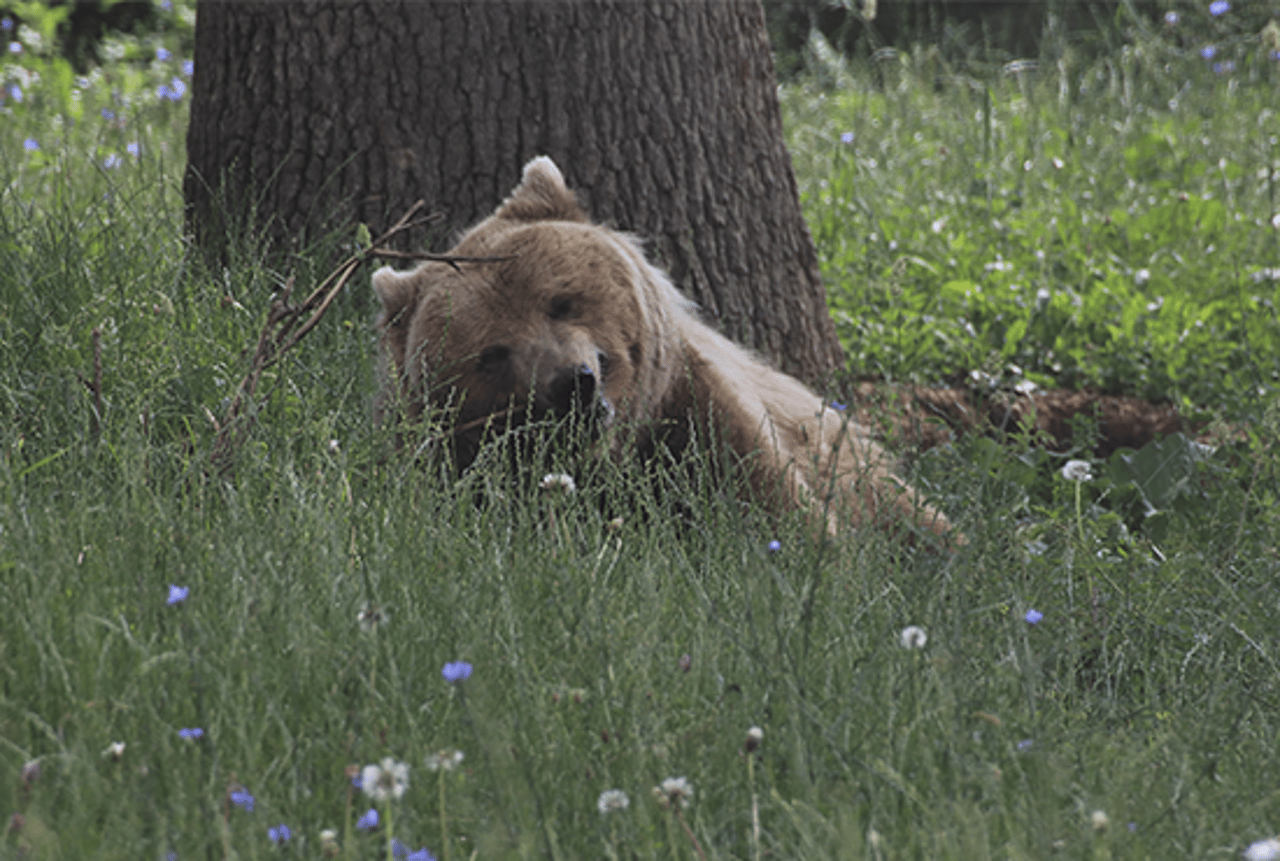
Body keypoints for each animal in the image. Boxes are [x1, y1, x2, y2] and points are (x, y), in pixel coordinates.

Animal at [371, 156, 952, 537]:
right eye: (492, 353)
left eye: (559, 302)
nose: (572, 383)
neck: (615, 454)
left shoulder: (698, 417)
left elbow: (788, 520)